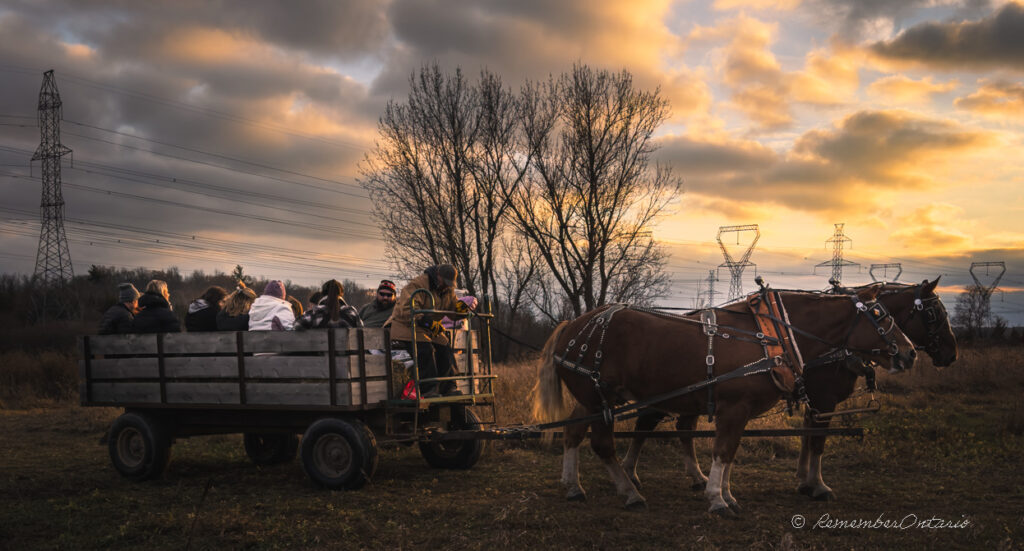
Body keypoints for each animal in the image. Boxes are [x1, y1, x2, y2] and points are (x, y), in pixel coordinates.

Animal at [532, 284, 917, 512]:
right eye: (880, 315)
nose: (910, 353)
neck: (772, 334)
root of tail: (571, 326)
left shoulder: (741, 412)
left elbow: (730, 453)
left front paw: (728, 493)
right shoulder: (735, 407)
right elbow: (724, 451)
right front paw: (717, 499)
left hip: (593, 400)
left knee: (573, 432)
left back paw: (574, 486)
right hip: (600, 399)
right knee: (602, 444)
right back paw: (629, 492)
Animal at [618, 278, 954, 501]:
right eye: (933, 314)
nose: (951, 354)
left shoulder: (814, 401)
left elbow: (807, 438)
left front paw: (804, 480)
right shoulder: (824, 399)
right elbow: (817, 442)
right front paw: (817, 485)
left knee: (681, 428)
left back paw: (694, 476)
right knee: (647, 423)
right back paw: (631, 474)